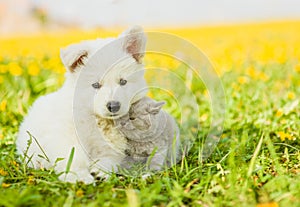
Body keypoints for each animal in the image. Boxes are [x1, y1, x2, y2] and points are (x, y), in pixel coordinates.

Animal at [16, 25, 148, 183]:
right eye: (96, 85)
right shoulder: (66, 138)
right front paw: (79, 177)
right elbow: (73, 157)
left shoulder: (112, 146)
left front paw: (100, 171)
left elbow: (109, 158)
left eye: (123, 82)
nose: (114, 106)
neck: (97, 119)